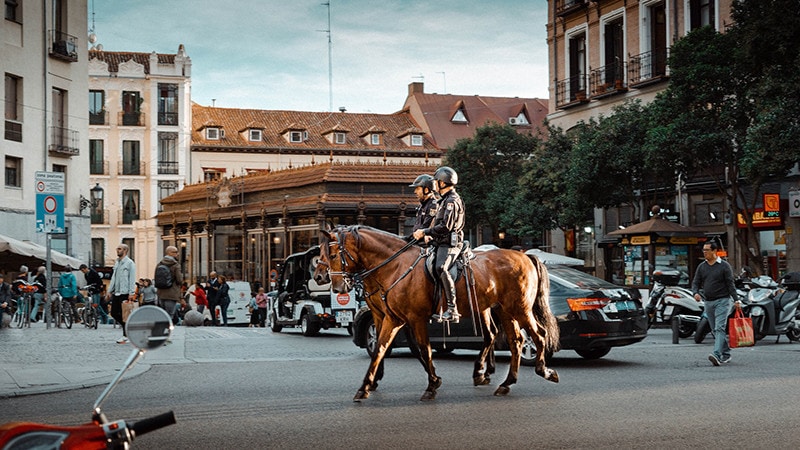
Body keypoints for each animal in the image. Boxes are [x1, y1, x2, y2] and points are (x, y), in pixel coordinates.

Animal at [316, 225, 560, 400]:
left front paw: (432, 383)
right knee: (514, 340)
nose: (329, 282)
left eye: (333, 254)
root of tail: (526, 256)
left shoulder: (413, 319)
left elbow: (423, 349)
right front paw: (366, 385)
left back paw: (544, 371)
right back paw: (505, 382)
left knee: (538, 335)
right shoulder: (391, 318)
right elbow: (380, 349)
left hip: (520, 309)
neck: (394, 265)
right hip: (505, 311)